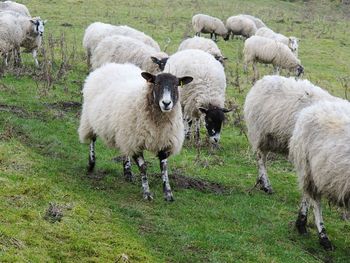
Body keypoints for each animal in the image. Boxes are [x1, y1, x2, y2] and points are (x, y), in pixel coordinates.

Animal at [78, 63, 193, 202]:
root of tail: (110, 65)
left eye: (176, 85)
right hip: (90, 120)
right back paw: (91, 163)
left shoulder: (164, 142)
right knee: (92, 140)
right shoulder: (136, 142)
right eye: (156, 83)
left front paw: (168, 194)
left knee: (124, 150)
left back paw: (127, 172)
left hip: (124, 132)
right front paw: (147, 193)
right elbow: (143, 167)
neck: (158, 123)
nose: (166, 103)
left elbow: (164, 168)